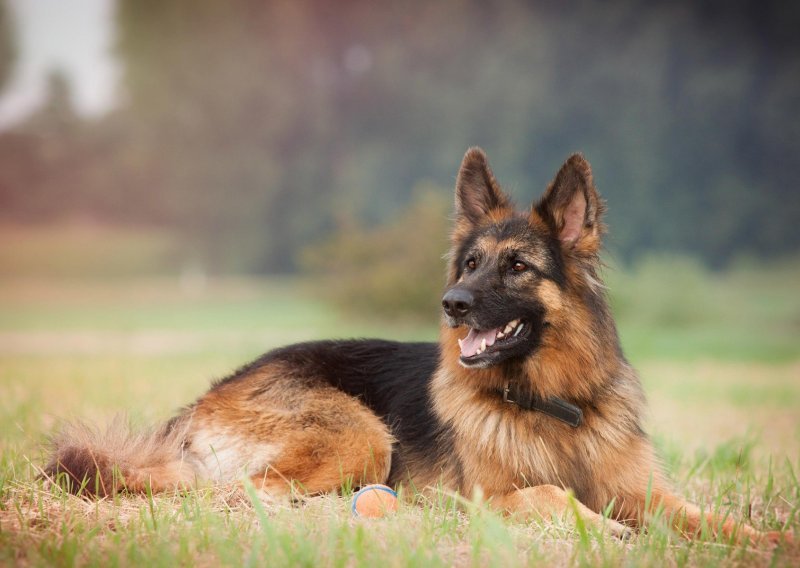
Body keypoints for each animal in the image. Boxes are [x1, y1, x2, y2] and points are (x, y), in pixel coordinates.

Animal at [47, 149, 784, 544]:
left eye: (517, 266)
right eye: (470, 264)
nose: (452, 305)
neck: (550, 404)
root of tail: (204, 400)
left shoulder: (650, 494)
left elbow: (709, 517)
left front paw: (770, 539)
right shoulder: (491, 498)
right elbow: (552, 495)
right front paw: (601, 531)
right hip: (359, 433)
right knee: (239, 494)